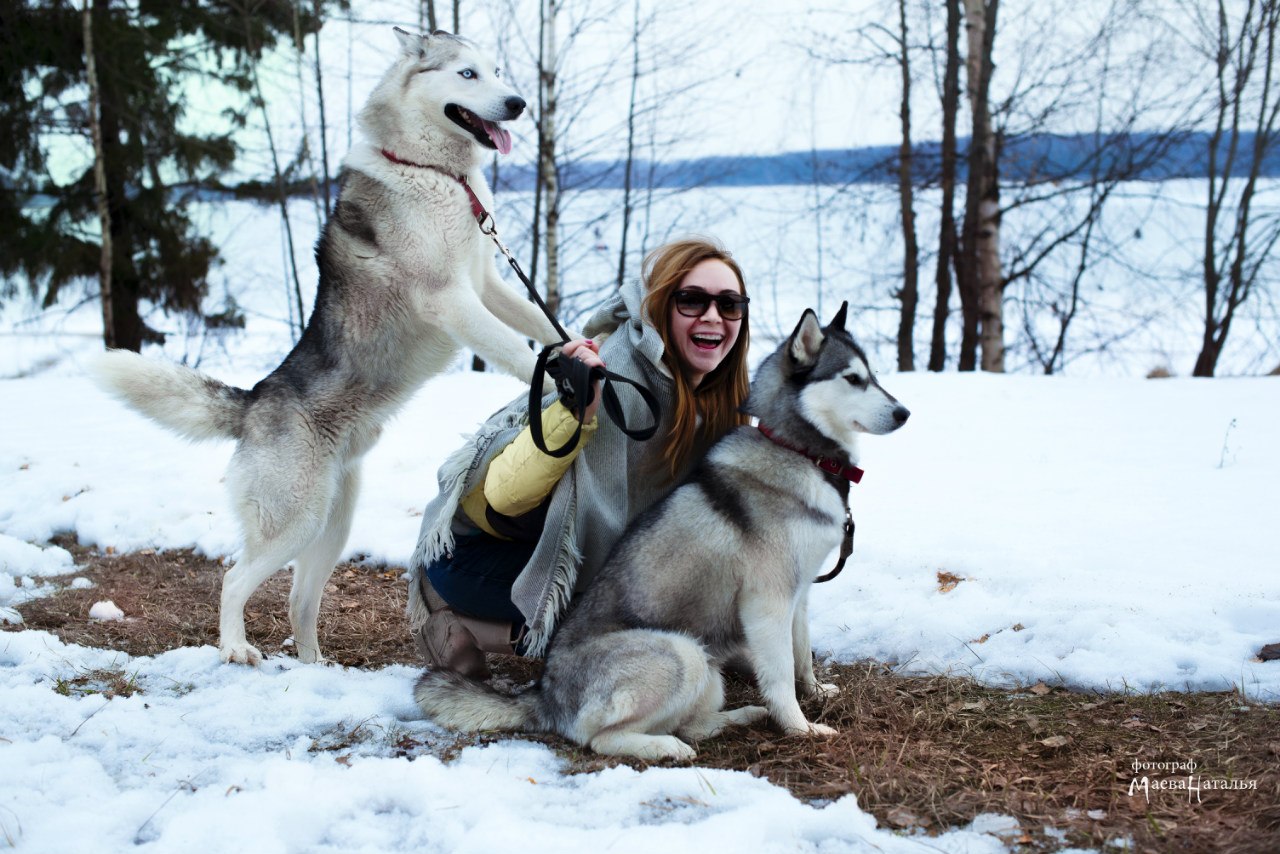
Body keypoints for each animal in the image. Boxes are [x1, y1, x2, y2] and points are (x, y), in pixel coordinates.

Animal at [92, 28, 568, 665]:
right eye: (467, 74)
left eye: (496, 71)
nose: (517, 103)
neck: (436, 173)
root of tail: (256, 399)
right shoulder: (450, 299)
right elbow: (519, 348)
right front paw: (564, 374)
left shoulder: (488, 284)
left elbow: (541, 323)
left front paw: (584, 345)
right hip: (294, 521)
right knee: (233, 581)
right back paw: (236, 648)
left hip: (330, 526)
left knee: (300, 602)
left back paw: (315, 668)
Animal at [412, 303, 911, 757]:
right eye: (852, 379)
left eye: (874, 375)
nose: (904, 413)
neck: (800, 451)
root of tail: (545, 693)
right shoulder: (767, 600)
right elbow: (782, 673)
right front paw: (799, 726)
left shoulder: (800, 590)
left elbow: (801, 653)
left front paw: (815, 692)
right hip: (681, 654)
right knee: (600, 738)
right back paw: (667, 747)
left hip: (705, 668)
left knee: (692, 721)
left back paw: (738, 717)